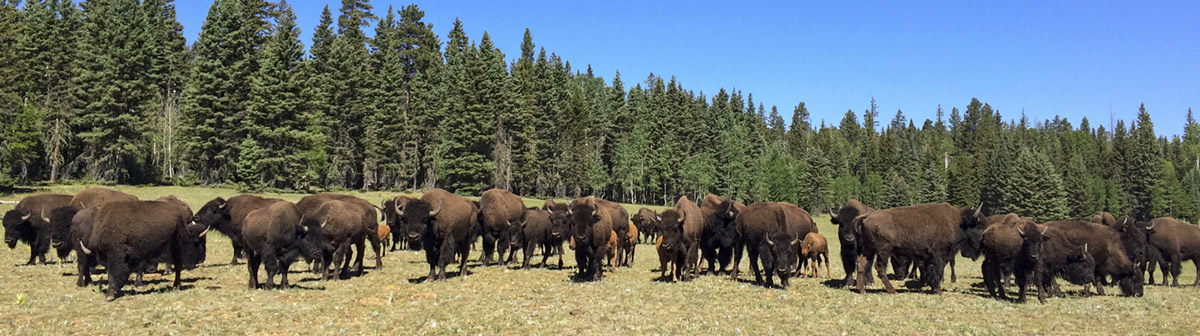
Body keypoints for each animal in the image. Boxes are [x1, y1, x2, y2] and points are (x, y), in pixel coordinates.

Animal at [854, 201, 984, 294]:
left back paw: (862, 290)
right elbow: (938, 271)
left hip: (869, 249)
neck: (958, 222)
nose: (982, 242)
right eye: (978, 226)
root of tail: (867, 217)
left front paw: (933, 288)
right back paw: (892, 291)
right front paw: (938, 290)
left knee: (861, 264)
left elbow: (930, 271)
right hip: (883, 250)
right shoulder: (939, 254)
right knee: (880, 267)